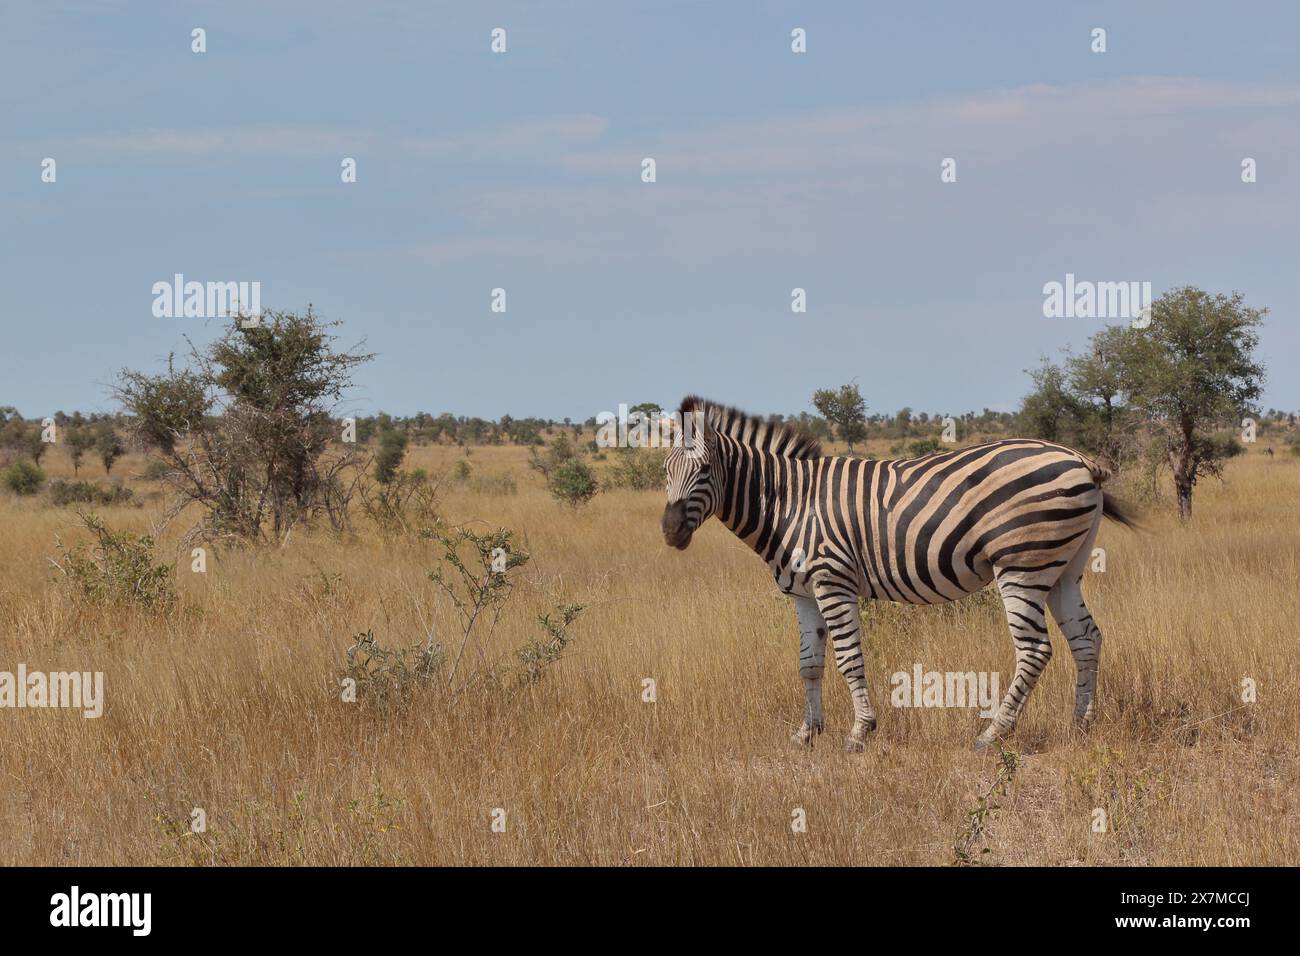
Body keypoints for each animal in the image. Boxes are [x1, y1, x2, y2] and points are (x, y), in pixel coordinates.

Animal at [660, 396, 1136, 752]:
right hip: (1063, 569)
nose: (669, 530)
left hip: (1022, 564)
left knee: (1035, 649)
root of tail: (1080, 460)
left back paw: (992, 733)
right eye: (665, 472)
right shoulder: (803, 593)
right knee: (1086, 638)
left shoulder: (833, 581)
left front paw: (859, 733)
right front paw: (807, 734)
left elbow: (849, 658)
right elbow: (809, 664)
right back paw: (1080, 727)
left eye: (705, 471)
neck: (789, 503)